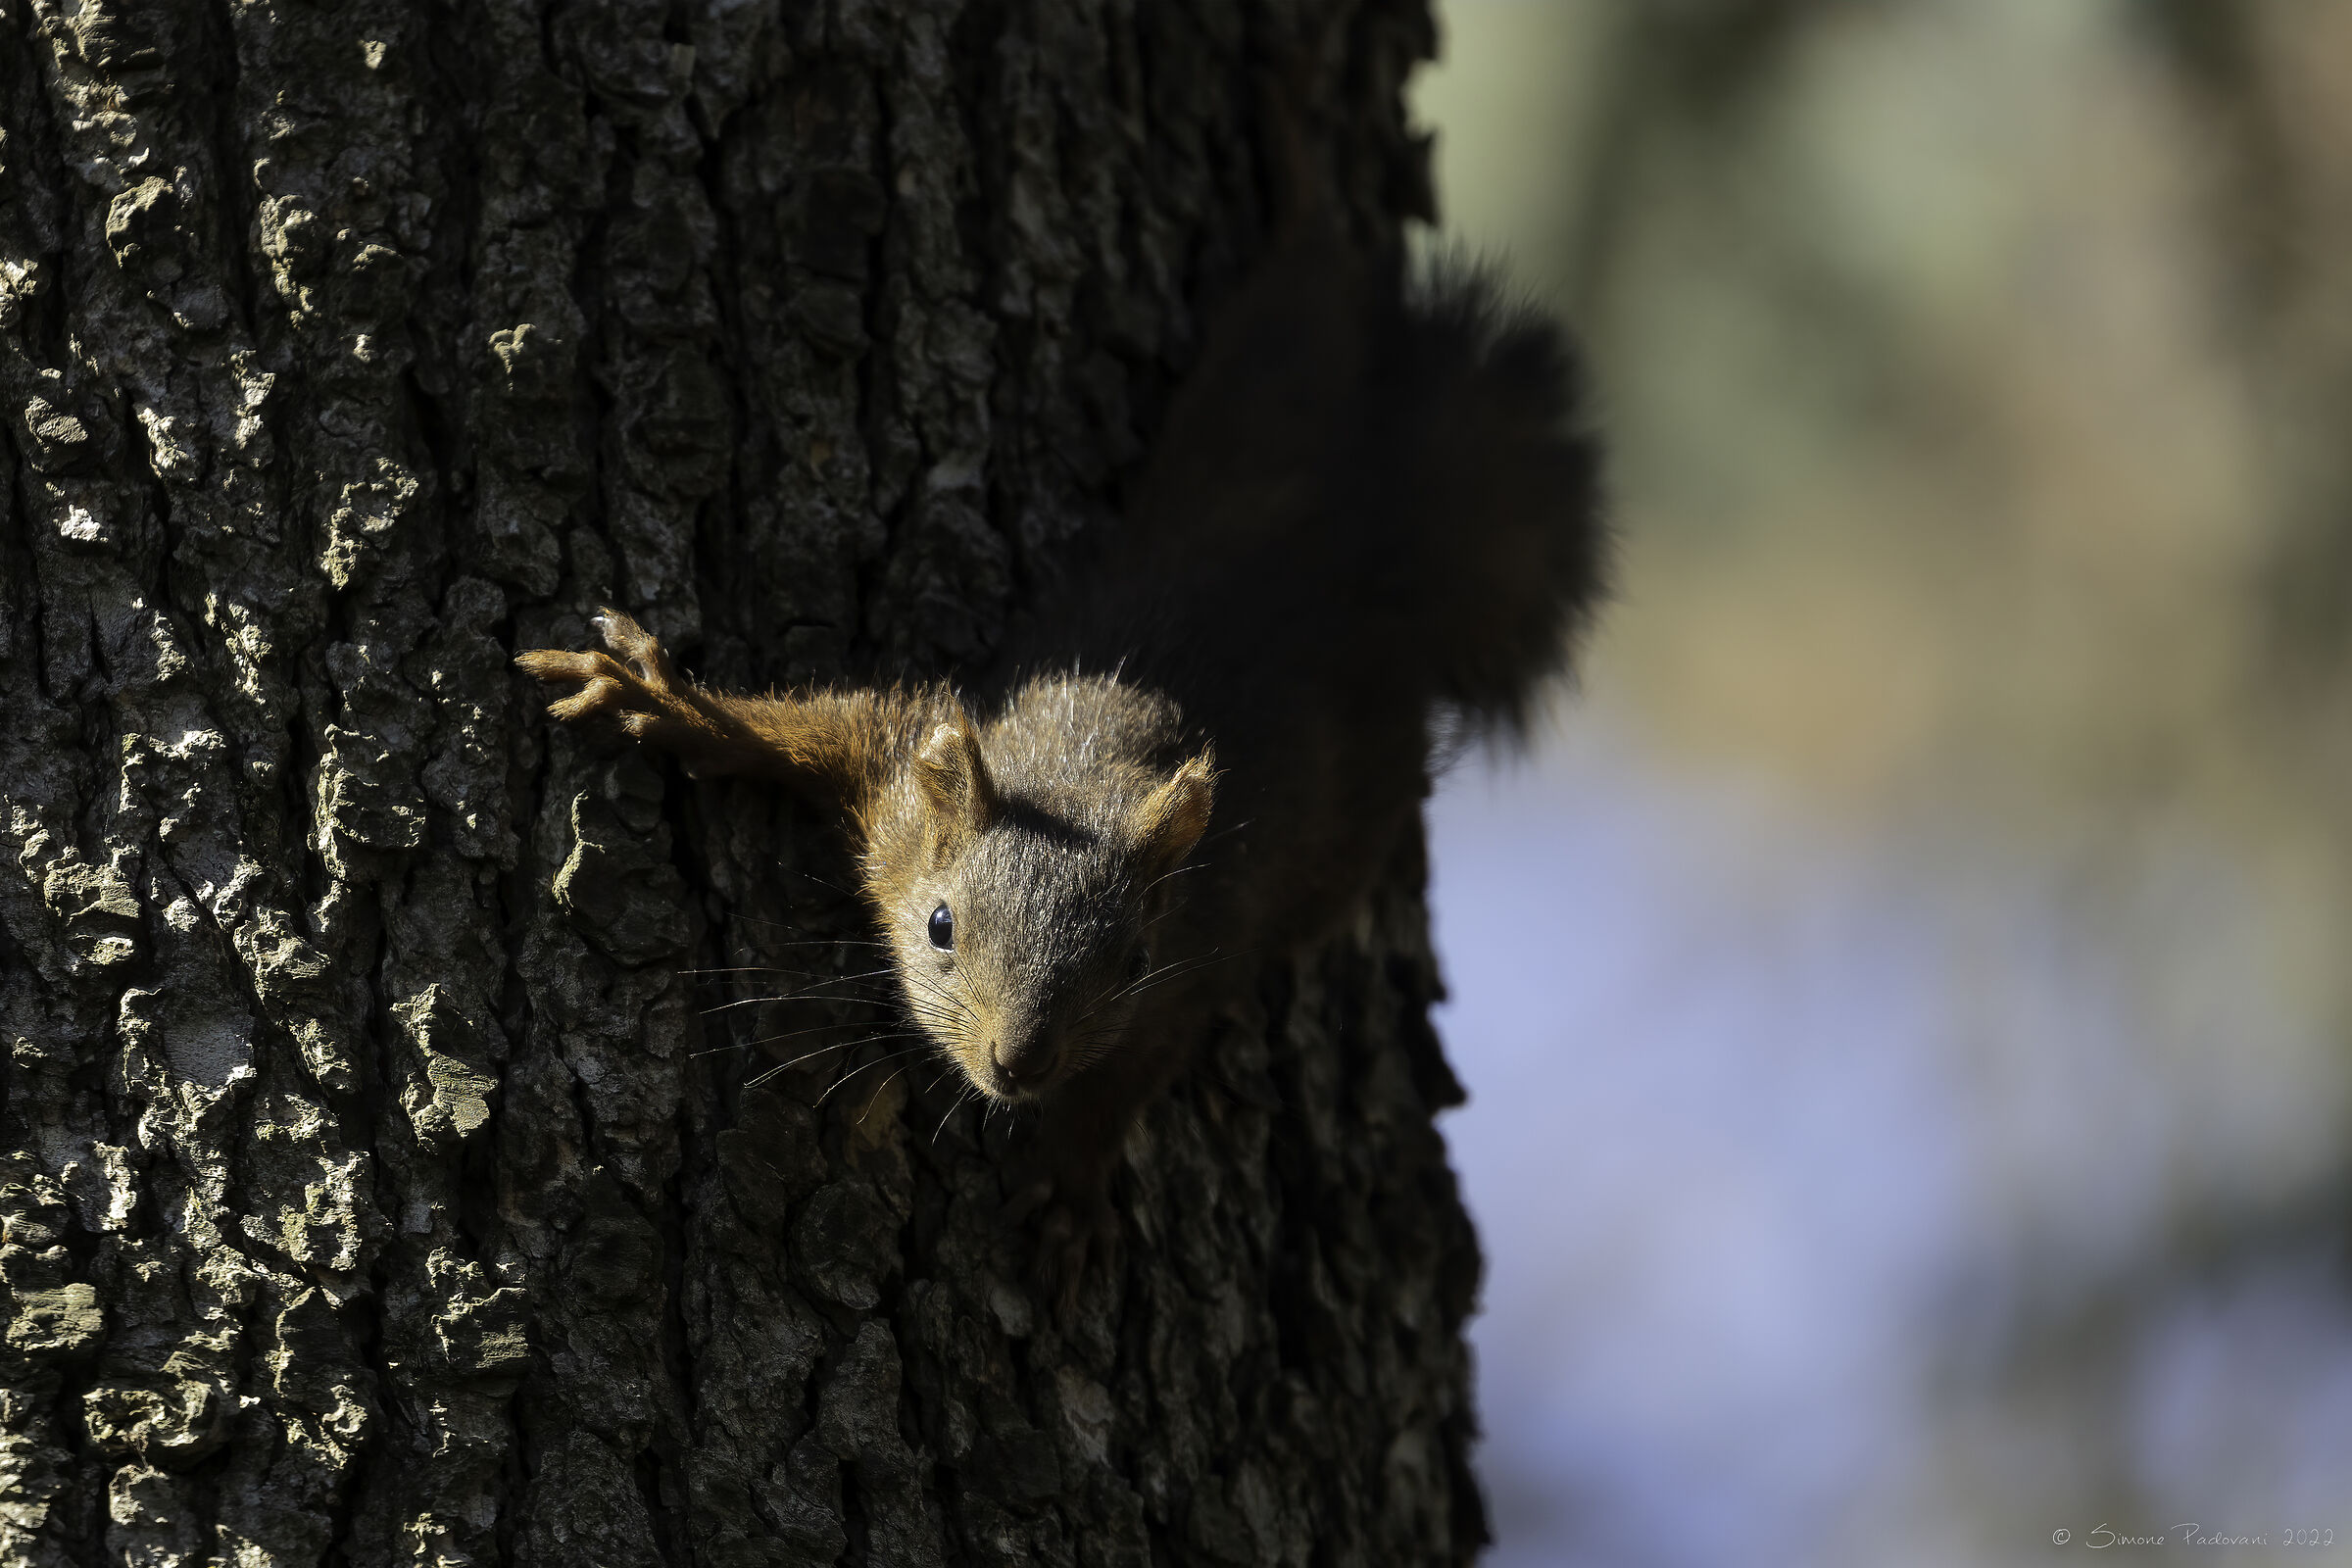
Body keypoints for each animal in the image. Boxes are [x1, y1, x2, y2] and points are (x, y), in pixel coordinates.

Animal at [516, 218, 1606, 1296]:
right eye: (941, 925)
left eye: (1132, 960)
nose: (1020, 1063)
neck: (1085, 773)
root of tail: (1366, 565)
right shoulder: (902, 772)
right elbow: (812, 727)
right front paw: (670, 705)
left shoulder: (1201, 948)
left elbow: (1135, 1069)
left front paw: (1073, 1185)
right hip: (1265, 370)